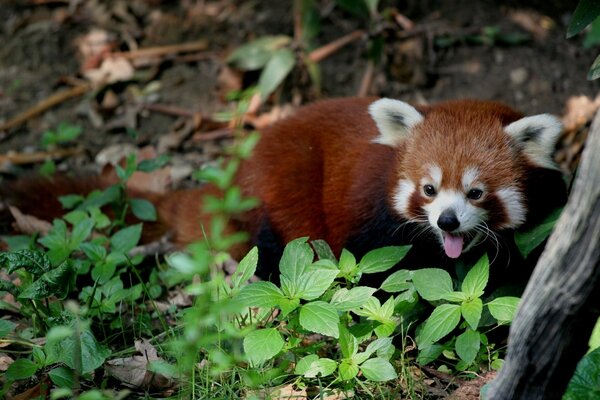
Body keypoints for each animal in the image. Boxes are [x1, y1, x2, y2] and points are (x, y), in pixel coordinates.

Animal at [2, 97, 568, 284]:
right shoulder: (373, 220)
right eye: (428, 189)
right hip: (279, 192)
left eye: (475, 194)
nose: (447, 222)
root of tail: (231, 174)